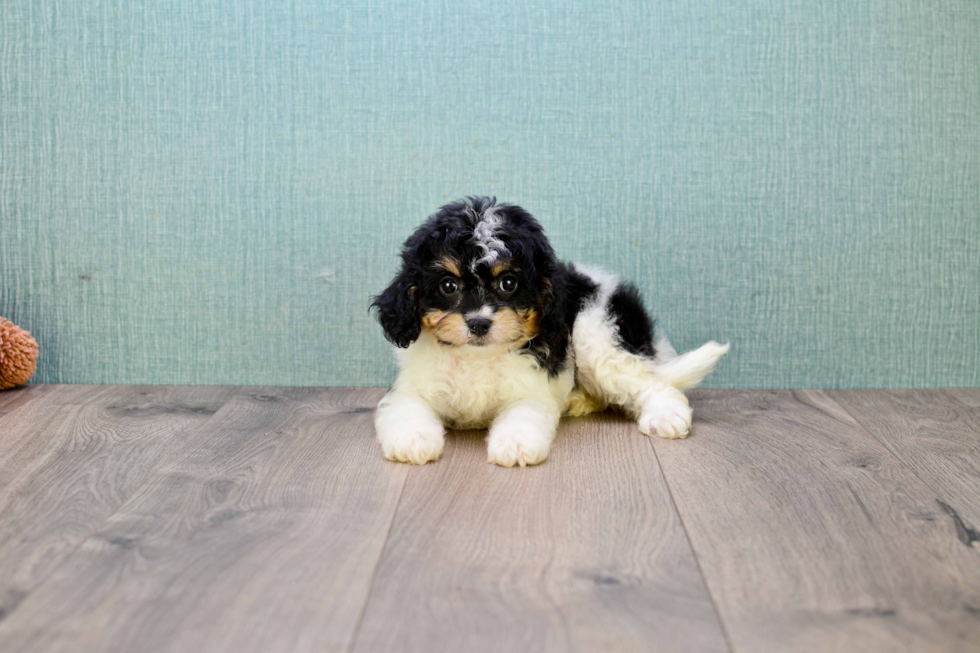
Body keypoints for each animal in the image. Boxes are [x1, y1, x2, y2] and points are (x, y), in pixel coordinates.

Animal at [374, 196, 728, 466]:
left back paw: (664, 414)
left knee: (650, 382)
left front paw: (515, 445)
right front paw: (414, 440)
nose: (478, 323)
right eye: (448, 286)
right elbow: (406, 408)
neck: (478, 358)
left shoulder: (530, 390)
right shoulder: (412, 387)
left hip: (596, 333)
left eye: (509, 283)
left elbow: (523, 415)